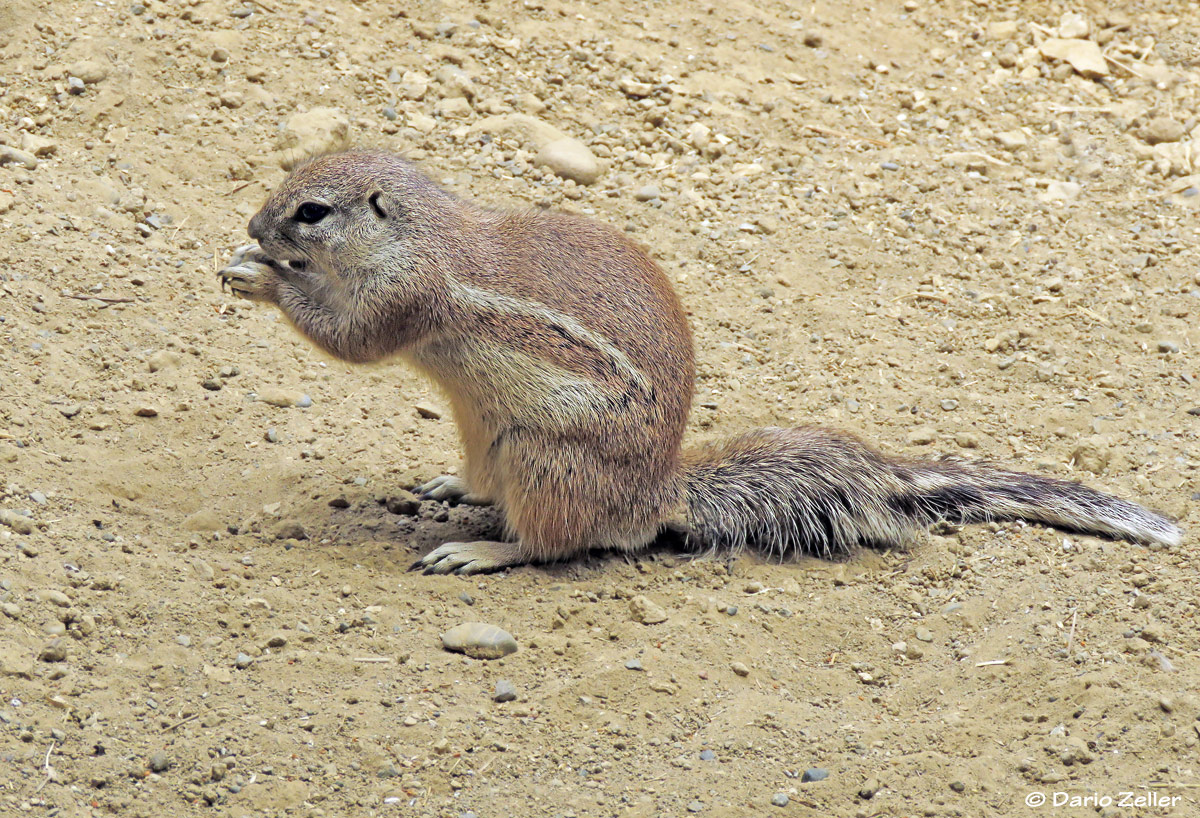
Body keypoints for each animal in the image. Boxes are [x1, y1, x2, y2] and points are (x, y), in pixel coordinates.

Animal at [218, 152, 1180, 573]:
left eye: (310, 211)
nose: (257, 225)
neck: (422, 234)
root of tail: (656, 495)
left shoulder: (407, 299)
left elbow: (352, 340)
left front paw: (261, 276)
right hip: (484, 430)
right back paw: (455, 487)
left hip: (543, 457)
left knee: (552, 542)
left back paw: (479, 549)